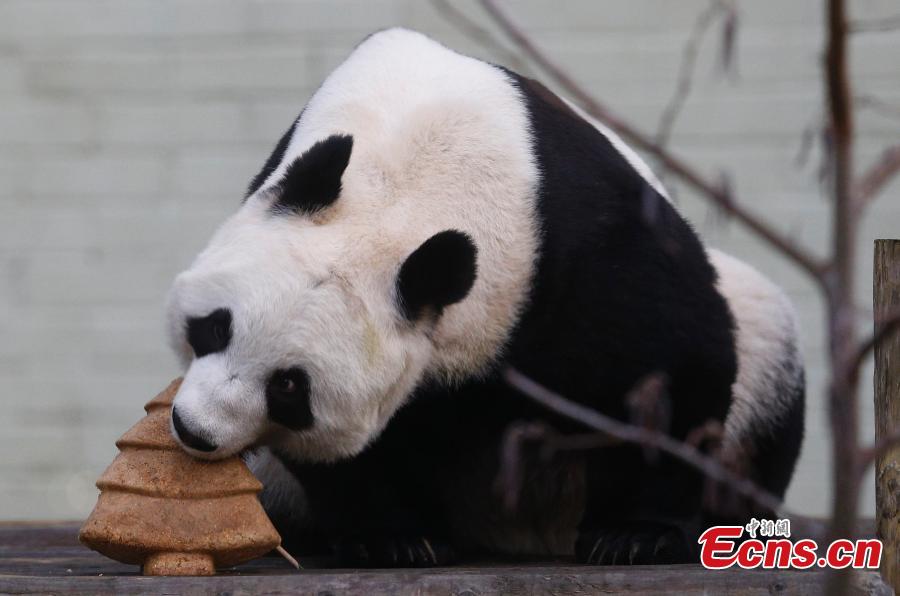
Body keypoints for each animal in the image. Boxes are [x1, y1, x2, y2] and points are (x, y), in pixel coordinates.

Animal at [165, 28, 804, 566]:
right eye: (215, 327)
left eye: (289, 387)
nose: (194, 430)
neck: (404, 196)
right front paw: (394, 538)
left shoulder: (575, 241)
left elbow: (672, 358)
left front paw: (634, 534)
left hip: (756, 354)